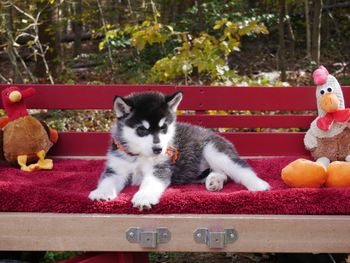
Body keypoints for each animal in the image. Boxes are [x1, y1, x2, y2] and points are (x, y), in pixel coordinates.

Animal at [89, 92, 270, 211]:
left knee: (240, 168)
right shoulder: (116, 169)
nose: (158, 149)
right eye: (142, 130)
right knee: (221, 173)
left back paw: (258, 185)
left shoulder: (160, 169)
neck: (139, 156)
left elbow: (150, 183)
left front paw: (144, 196)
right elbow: (107, 181)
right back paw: (214, 181)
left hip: (214, 151)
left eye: (164, 127)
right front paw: (102, 192)